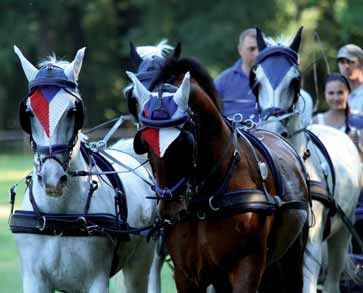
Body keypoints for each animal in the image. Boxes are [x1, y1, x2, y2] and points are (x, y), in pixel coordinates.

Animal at [13, 45, 158, 292]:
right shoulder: (34, 280)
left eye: (73, 111)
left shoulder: (96, 280)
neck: (58, 217)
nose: (52, 180)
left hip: (141, 263)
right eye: (29, 112)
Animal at [126, 55, 312, 292]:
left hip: (290, 261)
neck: (207, 197)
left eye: (183, 143)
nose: (169, 209)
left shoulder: (248, 265)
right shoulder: (187, 275)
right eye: (144, 142)